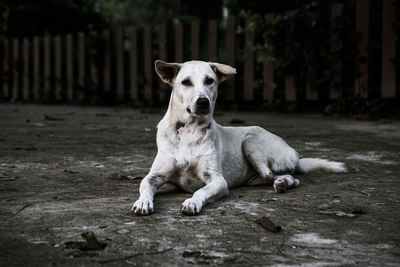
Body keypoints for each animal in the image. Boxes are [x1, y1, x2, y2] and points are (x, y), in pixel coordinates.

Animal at [132, 60, 346, 216]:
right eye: (186, 82)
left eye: (210, 80)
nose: (203, 102)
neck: (190, 130)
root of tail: (294, 153)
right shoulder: (155, 175)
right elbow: (145, 185)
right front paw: (142, 202)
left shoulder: (217, 180)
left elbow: (201, 190)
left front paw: (192, 201)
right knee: (274, 177)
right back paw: (281, 182)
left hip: (250, 142)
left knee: (285, 176)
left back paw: (284, 183)